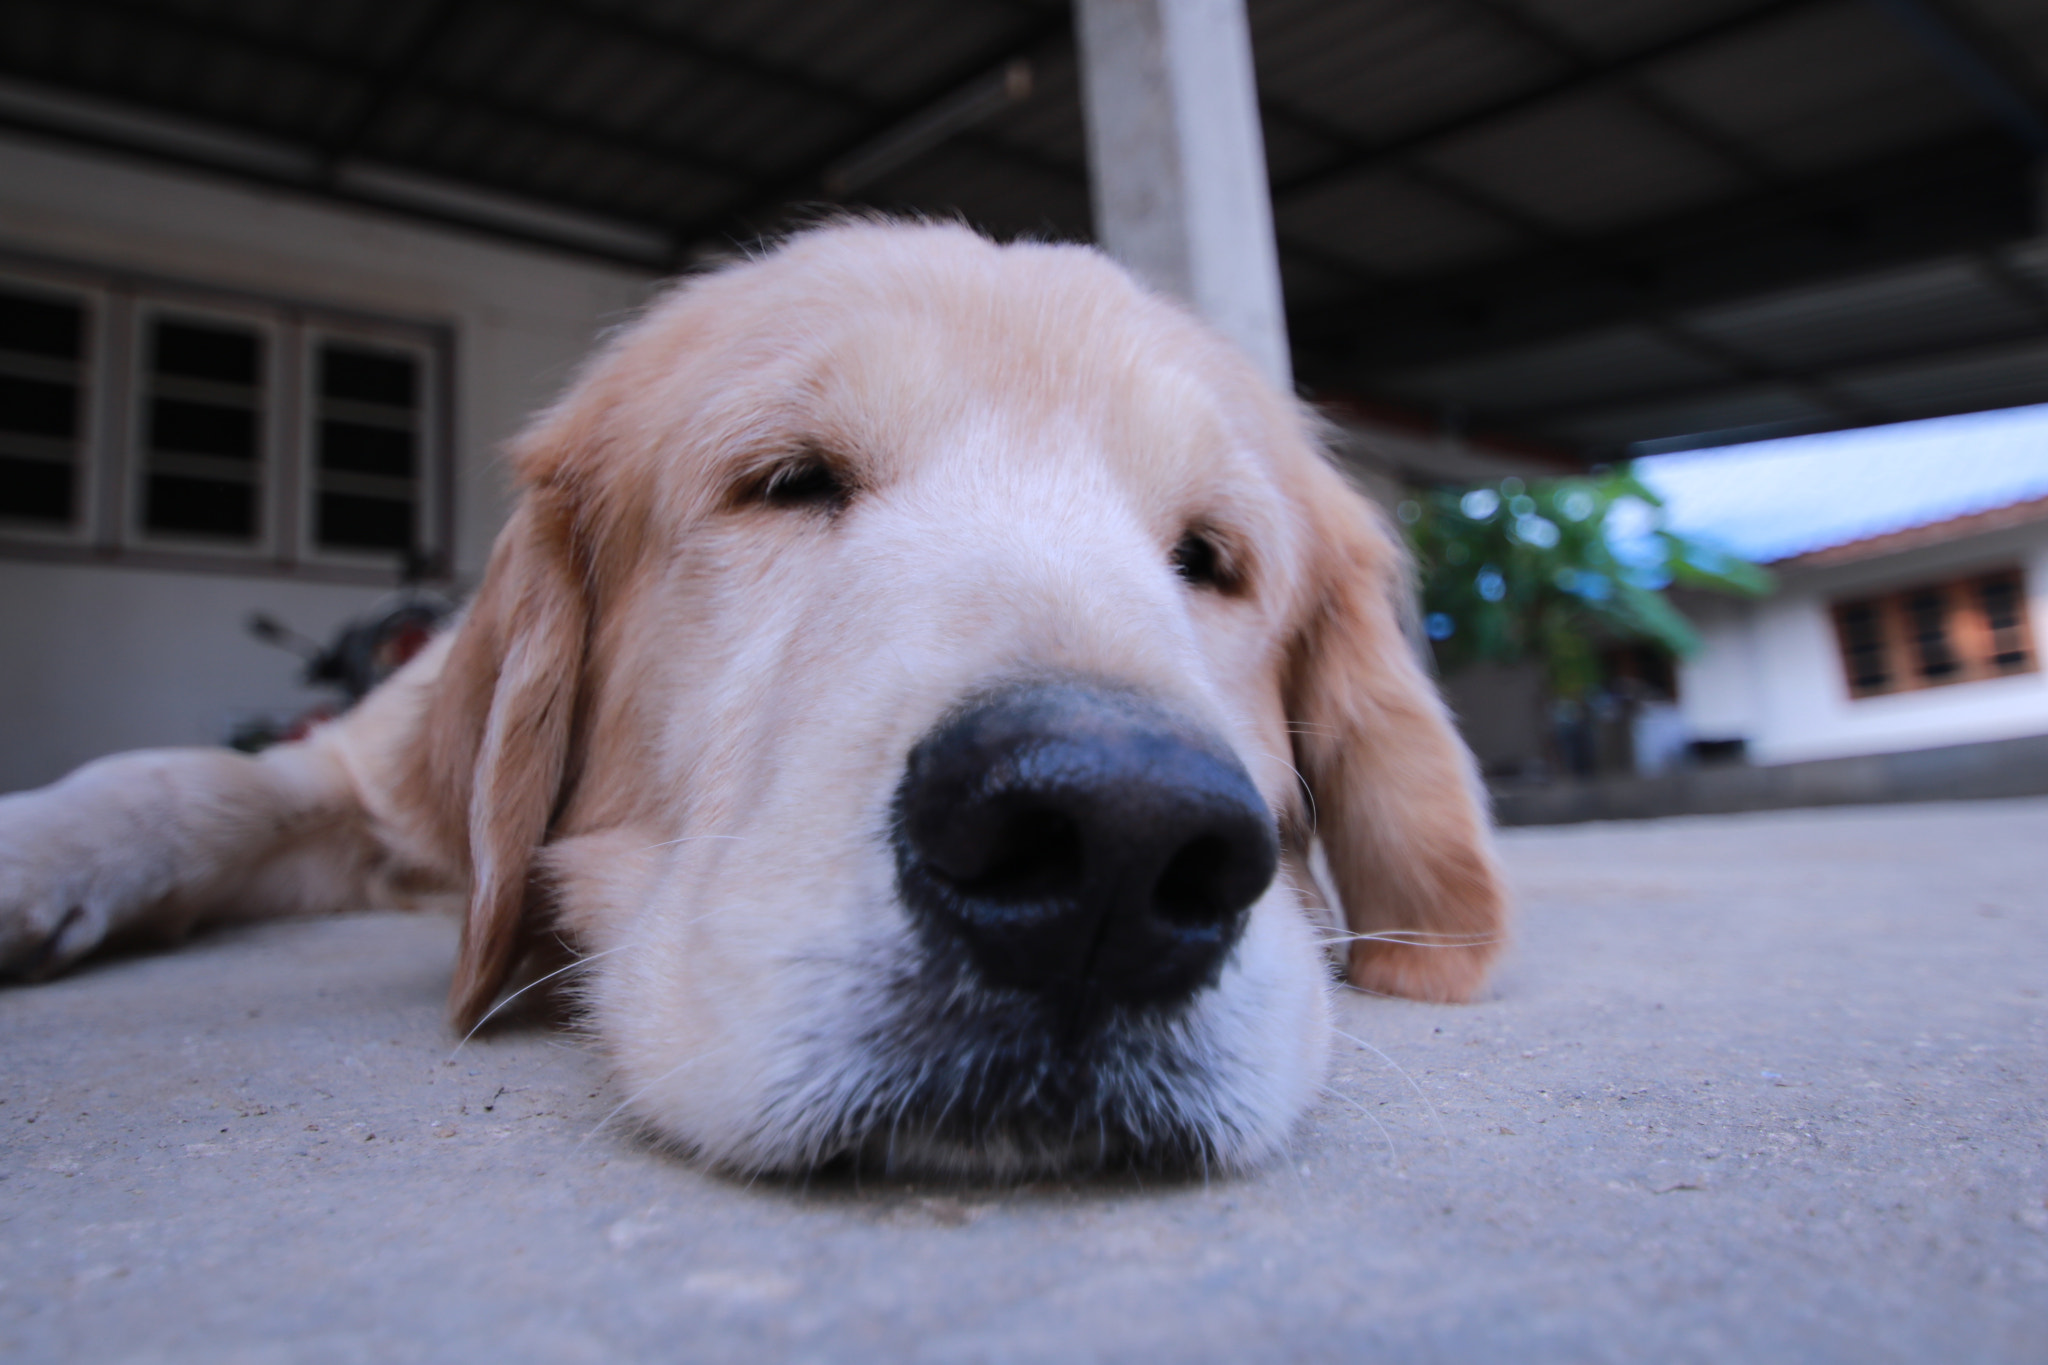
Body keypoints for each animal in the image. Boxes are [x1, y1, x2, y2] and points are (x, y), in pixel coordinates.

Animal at [0, 222, 1507, 1178]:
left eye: (1208, 559)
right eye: (789, 481)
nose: (1114, 846)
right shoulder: (355, 771)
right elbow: (189, 777)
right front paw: (36, 861)